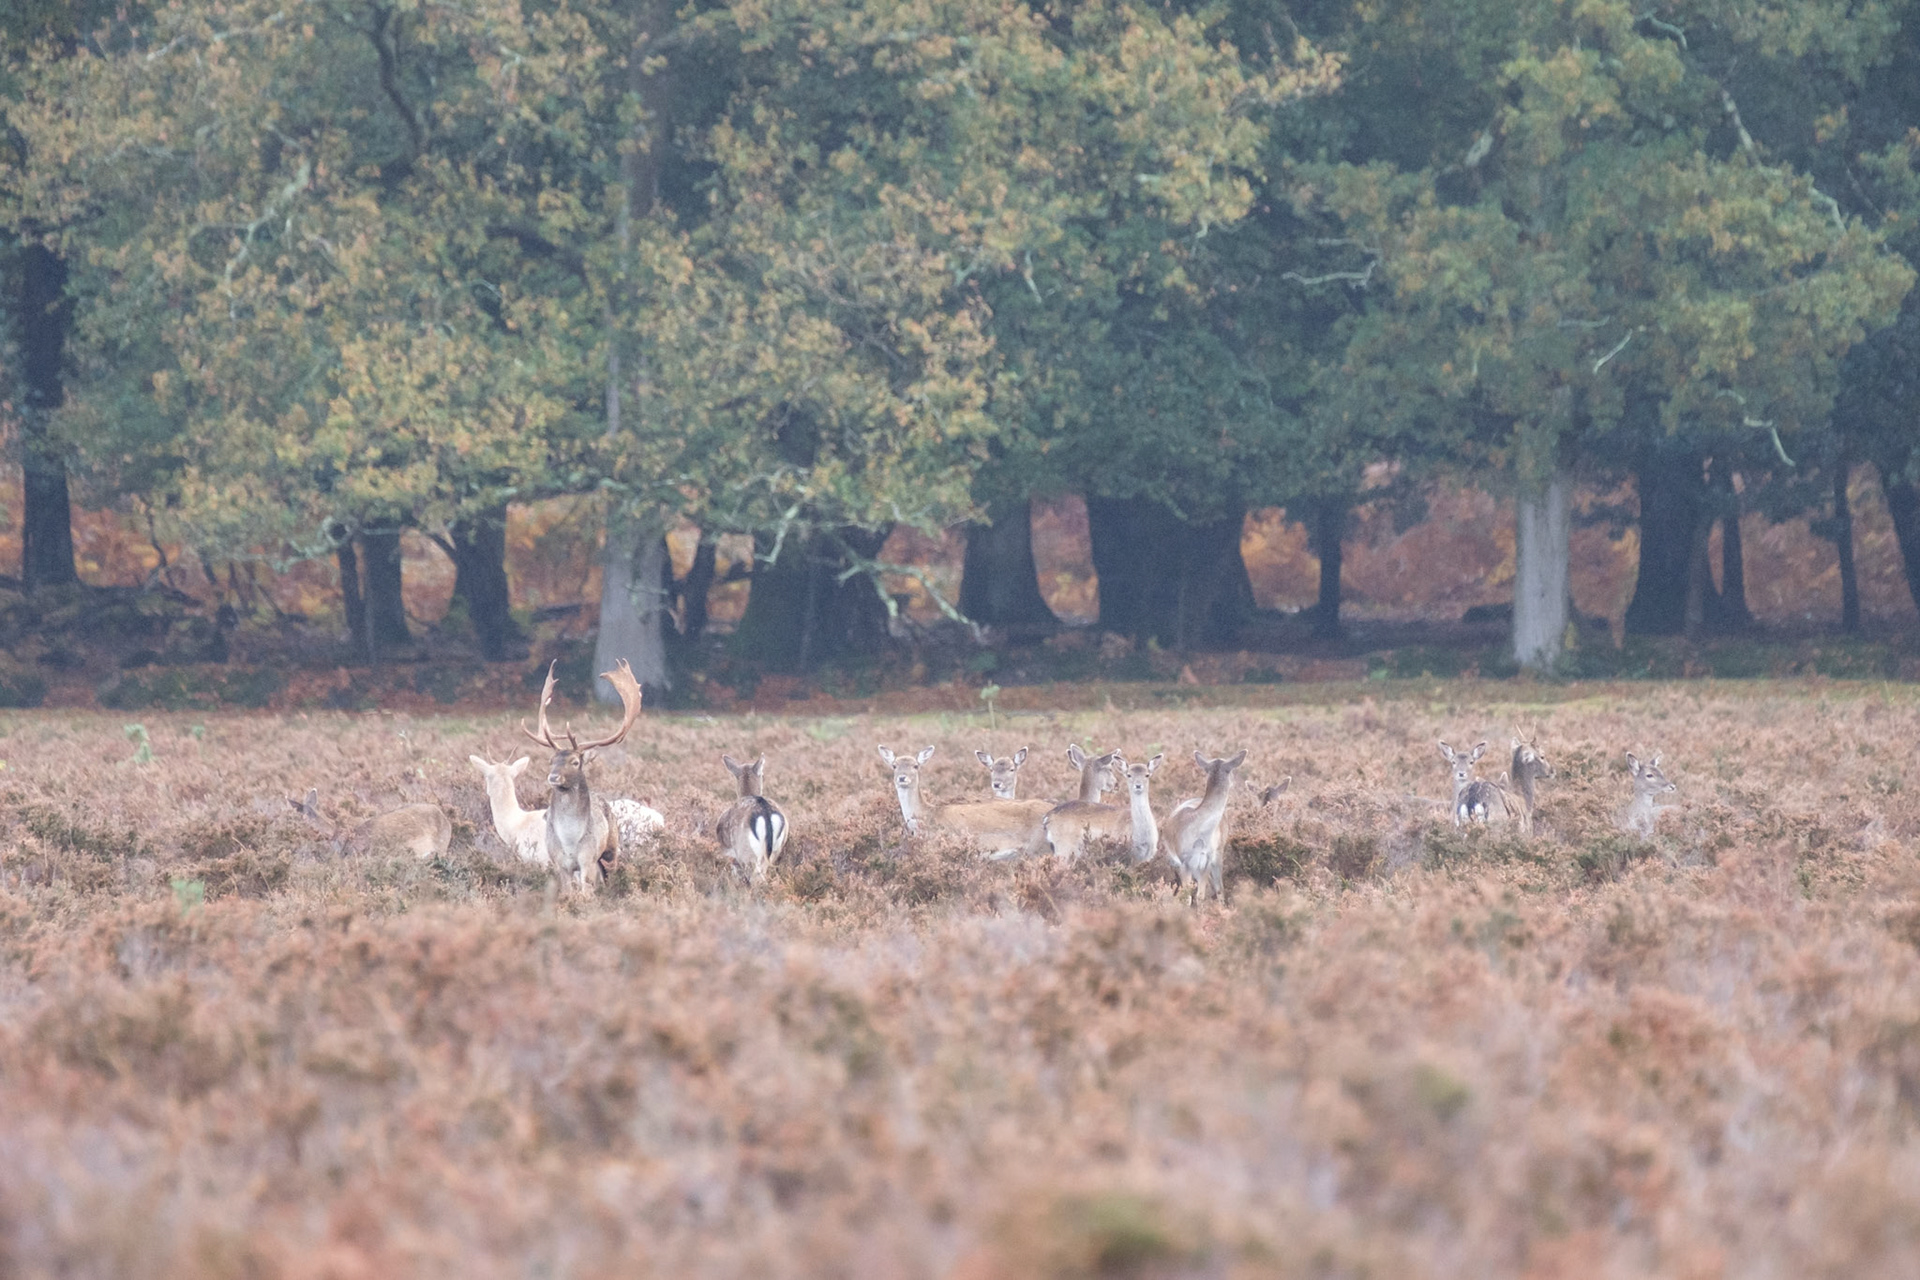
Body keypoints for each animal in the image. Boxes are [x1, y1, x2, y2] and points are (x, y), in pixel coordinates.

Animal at [522, 659, 646, 893]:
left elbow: (586, 891)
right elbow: (568, 891)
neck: (570, 841)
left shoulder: (587, 859)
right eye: (551, 760)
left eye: (575, 762)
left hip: (611, 848)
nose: (553, 777)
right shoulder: (559, 862)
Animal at [715, 753, 789, 884]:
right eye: (763, 775)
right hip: (775, 851)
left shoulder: (731, 855)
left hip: (747, 852)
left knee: (756, 879)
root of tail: (766, 813)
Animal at [1162, 750, 1245, 906]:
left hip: (1218, 852)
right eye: (1231, 771)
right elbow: (1187, 896)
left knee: (1219, 887)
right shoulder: (1184, 861)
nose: (1236, 783)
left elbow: (1200, 895)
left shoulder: (1206, 861)